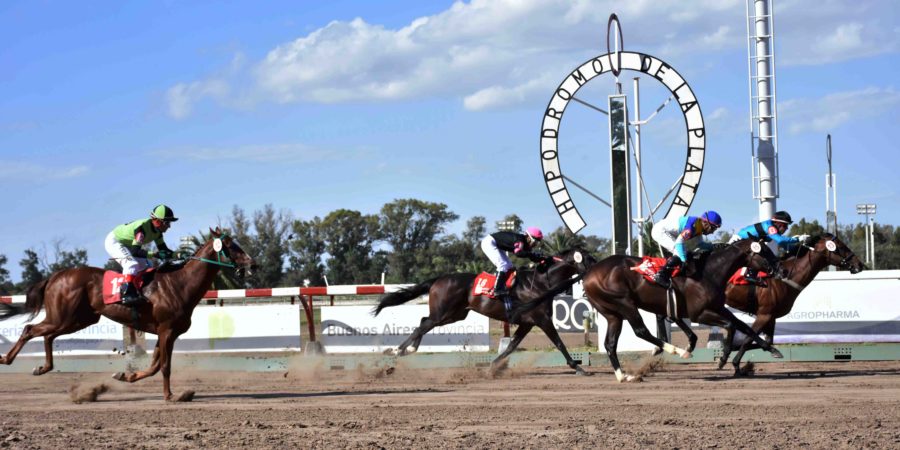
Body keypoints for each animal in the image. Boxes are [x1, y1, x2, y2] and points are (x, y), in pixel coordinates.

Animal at [0, 229, 253, 400]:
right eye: (231, 246)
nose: (252, 263)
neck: (180, 284)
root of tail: (55, 276)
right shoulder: (167, 330)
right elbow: (164, 366)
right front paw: (171, 396)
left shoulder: (165, 333)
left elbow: (153, 366)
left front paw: (125, 376)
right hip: (65, 317)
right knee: (30, 329)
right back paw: (6, 359)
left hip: (78, 319)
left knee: (47, 335)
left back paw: (42, 367)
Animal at [374, 248, 596, 374]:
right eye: (590, 259)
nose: (598, 270)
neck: (541, 283)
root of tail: (438, 279)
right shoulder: (542, 319)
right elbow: (559, 342)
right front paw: (578, 367)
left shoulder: (527, 322)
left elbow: (511, 346)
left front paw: (493, 366)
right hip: (444, 313)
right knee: (423, 325)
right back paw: (397, 351)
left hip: (454, 315)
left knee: (423, 321)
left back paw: (407, 350)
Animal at [516, 237, 784, 382]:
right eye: (764, 253)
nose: (780, 269)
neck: (709, 272)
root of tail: (589, 271)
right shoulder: (700, 313)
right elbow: (730, 326)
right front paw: (724, 358)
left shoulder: (716, 308)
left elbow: (743, 327)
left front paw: (771, 349)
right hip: (625, 303)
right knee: (640, 331)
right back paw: (675, 351)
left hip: (612, 313)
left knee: (611, 344)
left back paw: (623, 375)